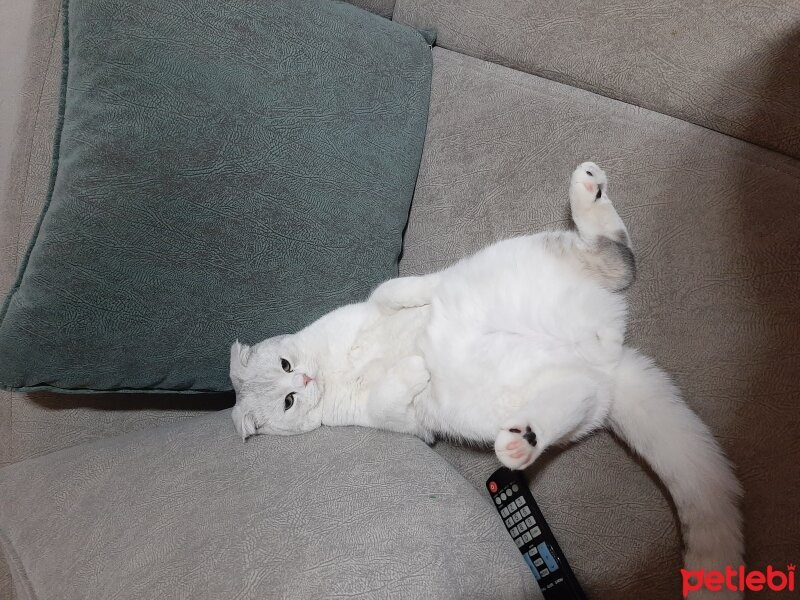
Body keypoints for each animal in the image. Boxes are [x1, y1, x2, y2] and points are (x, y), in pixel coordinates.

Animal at [230, 162, 744, 596]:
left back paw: (587, 189)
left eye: (285, 368)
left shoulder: (371, 304)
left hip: (542, 260)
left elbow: (393, 290)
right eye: (288, 401)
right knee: (578, 378)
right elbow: (388, 397)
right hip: (558, 395)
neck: (337, 366)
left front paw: (423, 300)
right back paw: (521, 442)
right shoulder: (408, 426)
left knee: (619, 258)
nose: (306, 379)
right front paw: (414, 367)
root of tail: (607, 361)